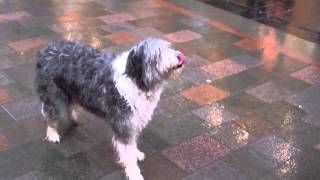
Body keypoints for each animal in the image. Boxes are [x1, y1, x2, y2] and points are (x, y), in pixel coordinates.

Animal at [34, 37, 185, 179]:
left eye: (169, 47)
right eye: (158, 53)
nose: (180, 57)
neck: (136, 80)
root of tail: (46, 49)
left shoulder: (132, 121)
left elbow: (132, 144)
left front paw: (136, 153)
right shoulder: (123, 123)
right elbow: (127, 151)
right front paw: (133, 173)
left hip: (70, 90)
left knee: (69, 105)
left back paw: (73, 118)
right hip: (53, 94)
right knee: (51, 114)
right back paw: (52, 134)